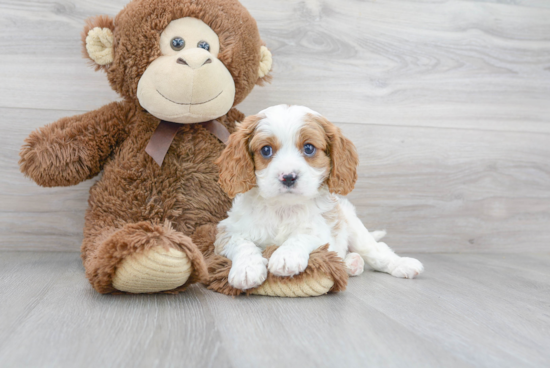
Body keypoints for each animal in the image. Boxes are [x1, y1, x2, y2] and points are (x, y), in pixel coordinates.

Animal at [213, 104, 424, 290]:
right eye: (266, 150)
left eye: (308, 148)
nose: (288, 177)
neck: (283, 208)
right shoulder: (227, 232)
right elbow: (243, 244)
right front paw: (246, 269)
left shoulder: (323, 229)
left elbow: (304, 235)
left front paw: (286, 256)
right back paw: (352, 263)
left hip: (355, 229)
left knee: (378, 250)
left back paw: (401, 264)